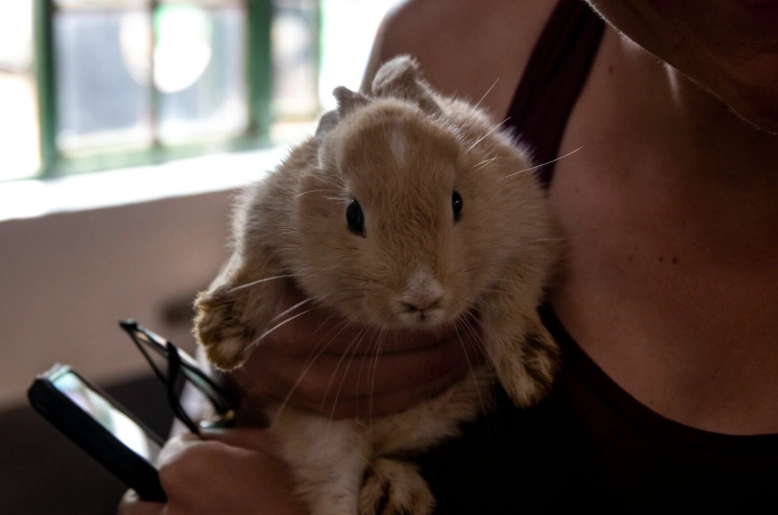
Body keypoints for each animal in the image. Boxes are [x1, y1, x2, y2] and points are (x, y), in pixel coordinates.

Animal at [194, 55, 562, 515]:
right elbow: (253, 268)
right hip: (327, 441)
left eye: (457, 201)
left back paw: (395, 495)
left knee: (386, 455)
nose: (422, 297)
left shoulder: (529, 232)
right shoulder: (264, 220)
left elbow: (514, 299)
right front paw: (221, 338)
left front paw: (531, 376)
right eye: (353, 215)